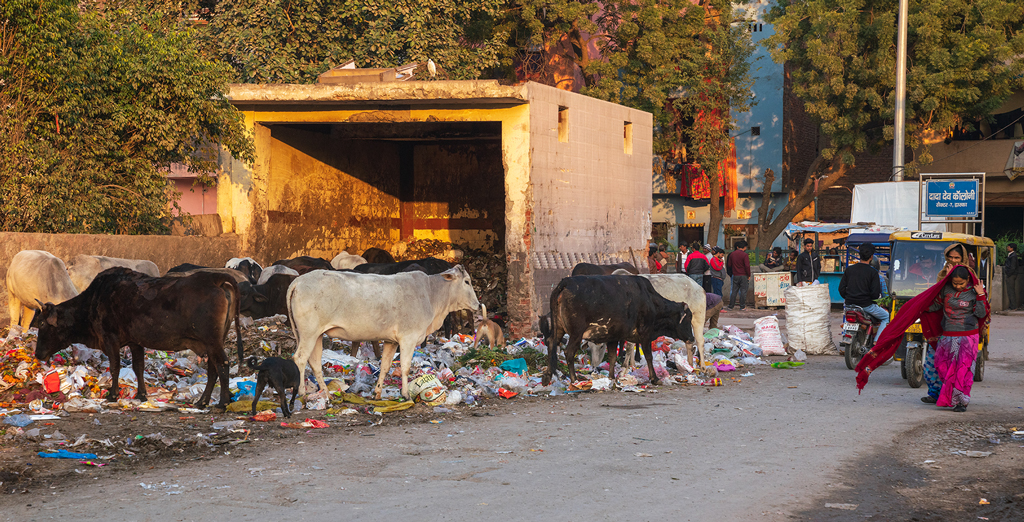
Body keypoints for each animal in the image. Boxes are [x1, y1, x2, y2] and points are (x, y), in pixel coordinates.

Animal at [288, 264, 479, 395]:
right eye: (467, 281)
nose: (477, 304)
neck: (432, 294)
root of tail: (299, 281)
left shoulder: (391, 341)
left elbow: (386, 366)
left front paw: (378, 393)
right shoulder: (408, 338)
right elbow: (405, 367)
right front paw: (406, 394)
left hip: (317, 335)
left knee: (314, 362)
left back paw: (326, 395)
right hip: (309, 333)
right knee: (300, 359)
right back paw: (303, 393)